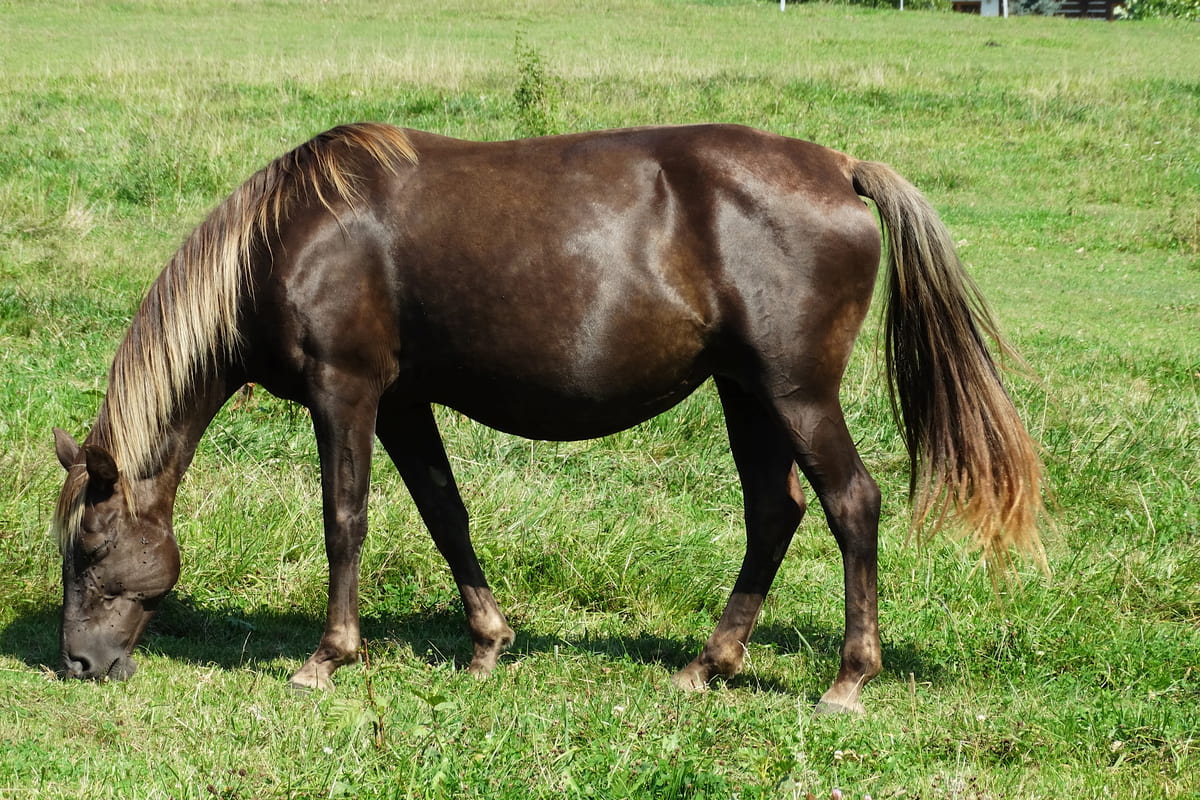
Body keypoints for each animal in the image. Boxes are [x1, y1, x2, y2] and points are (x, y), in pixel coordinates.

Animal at [51, 122, 1044, 713]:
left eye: (91, 551)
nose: (77, 665)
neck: (295, 235)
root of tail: (840, 170)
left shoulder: (349, 391)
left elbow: (345, 520)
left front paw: (328, 657)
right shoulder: (405, 401)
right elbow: (445, 514)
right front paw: (488, 644)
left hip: (795, 391)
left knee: (851, 505)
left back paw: (846, 677)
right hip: (746, 392)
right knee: (776, 513)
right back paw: (708, 664)